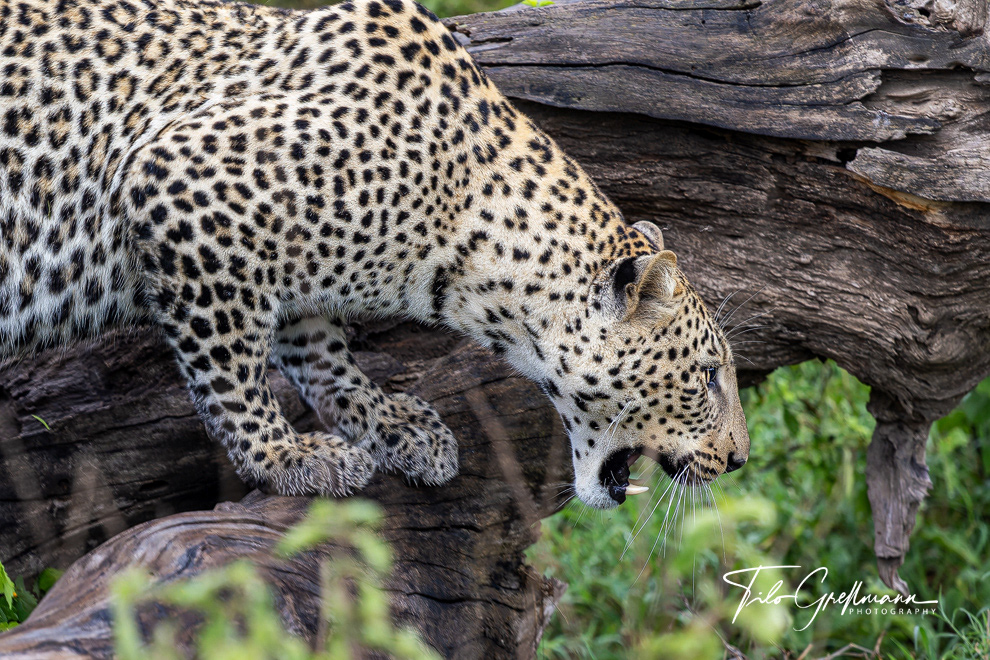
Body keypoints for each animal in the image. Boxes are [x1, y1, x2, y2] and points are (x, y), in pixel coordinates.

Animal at [0, 0, 750, 509]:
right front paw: (283, 455)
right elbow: (230, 366)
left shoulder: (282, 264)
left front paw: (390, 424)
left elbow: (318, 352)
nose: (739, 459)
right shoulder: (180, 182)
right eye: (709, 376)